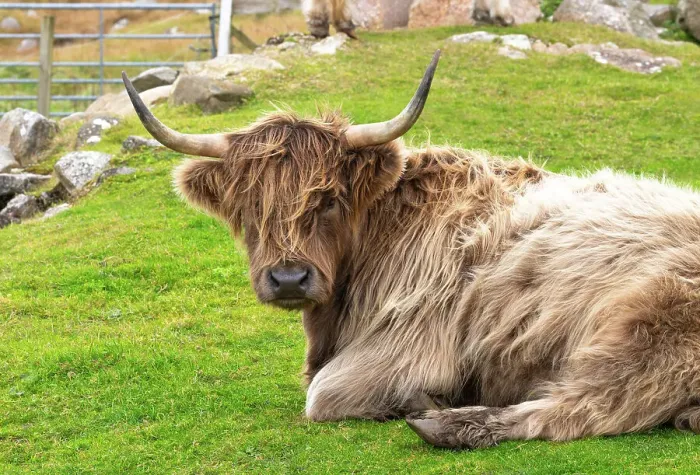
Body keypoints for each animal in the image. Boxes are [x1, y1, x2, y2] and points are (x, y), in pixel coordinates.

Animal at [121, 51, 700, 450]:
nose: (288, 279)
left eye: (329, 200)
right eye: (249, 205)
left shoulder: (407, 344)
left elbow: (322, 395)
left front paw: (418, 398)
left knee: (585, 406)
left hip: (648, 325)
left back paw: (445, 422)